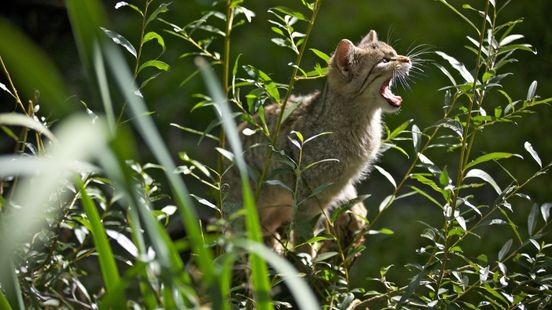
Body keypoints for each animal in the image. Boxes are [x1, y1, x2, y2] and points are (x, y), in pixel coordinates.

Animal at [224, 29, 410, 253]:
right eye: (385, 60)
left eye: (395, 53)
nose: (408, 59)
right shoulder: (309, 200)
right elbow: (304, 239)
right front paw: (305, 259)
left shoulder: (343, 182)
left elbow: (349, 195)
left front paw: (356, 212)